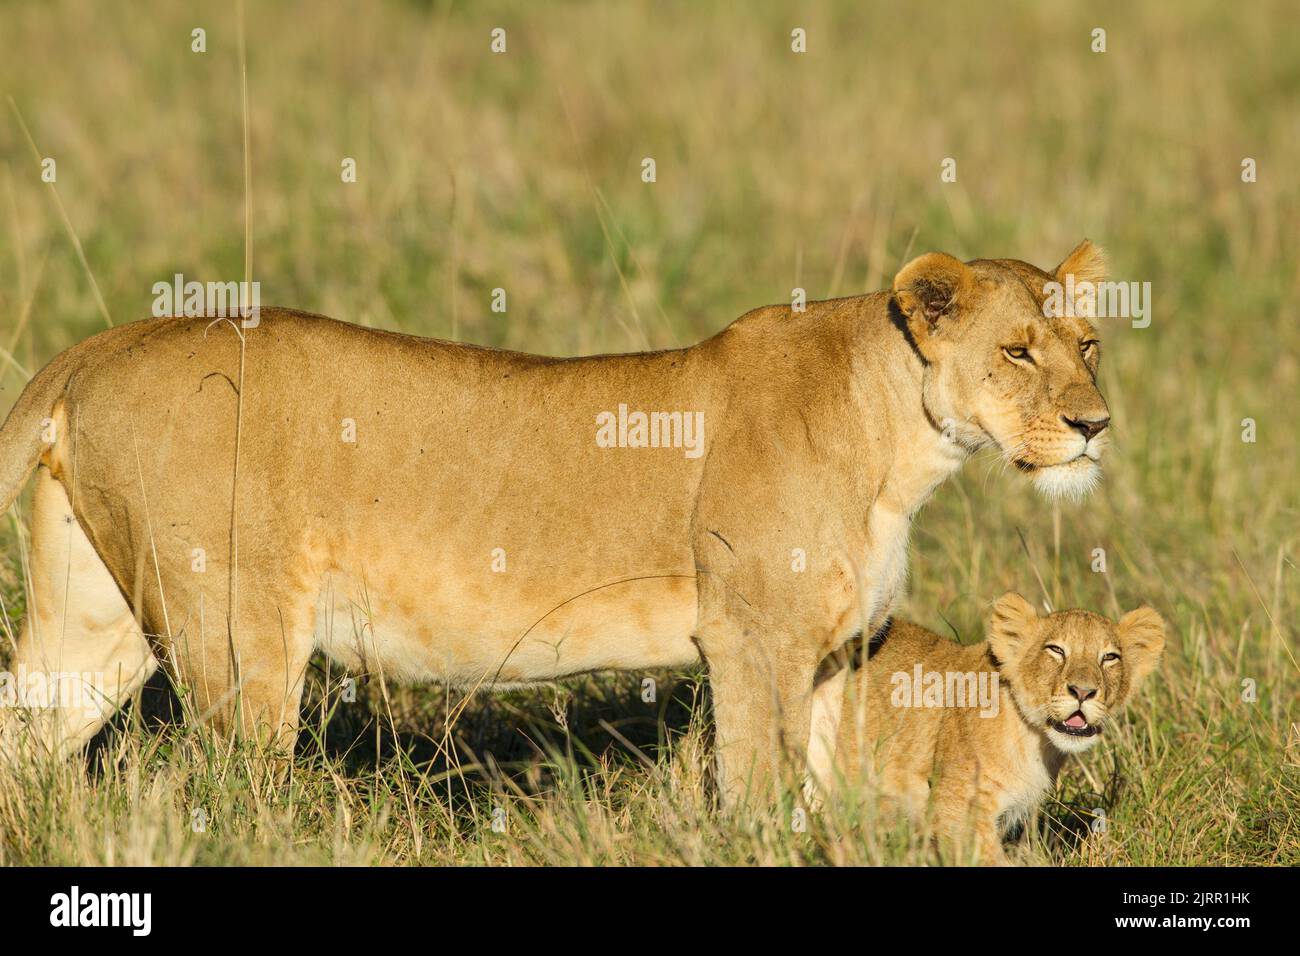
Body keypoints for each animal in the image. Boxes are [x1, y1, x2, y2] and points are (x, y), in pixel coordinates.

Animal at [0, 240, 1110, 805]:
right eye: (1017, 350)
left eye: (1089, 344)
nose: (1095, 424)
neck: (902, 444)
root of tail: (98, 346)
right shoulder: (755, 639)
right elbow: (760, 787)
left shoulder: (836, 653)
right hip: (236, 632)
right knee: (228, 783)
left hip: (97, 618)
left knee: (26, 730)